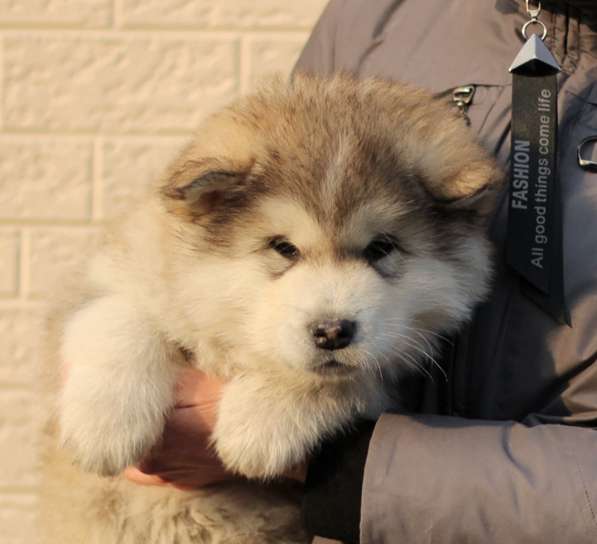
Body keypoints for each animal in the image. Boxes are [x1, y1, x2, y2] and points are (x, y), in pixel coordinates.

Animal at [39, 75, 500, 544]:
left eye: (380, 248)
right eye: (283, 248)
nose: (332, 331)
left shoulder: (396, 379)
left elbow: (337, 378)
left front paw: (257, 425)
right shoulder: (120, 274)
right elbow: (116, 317)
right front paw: (104, 426)